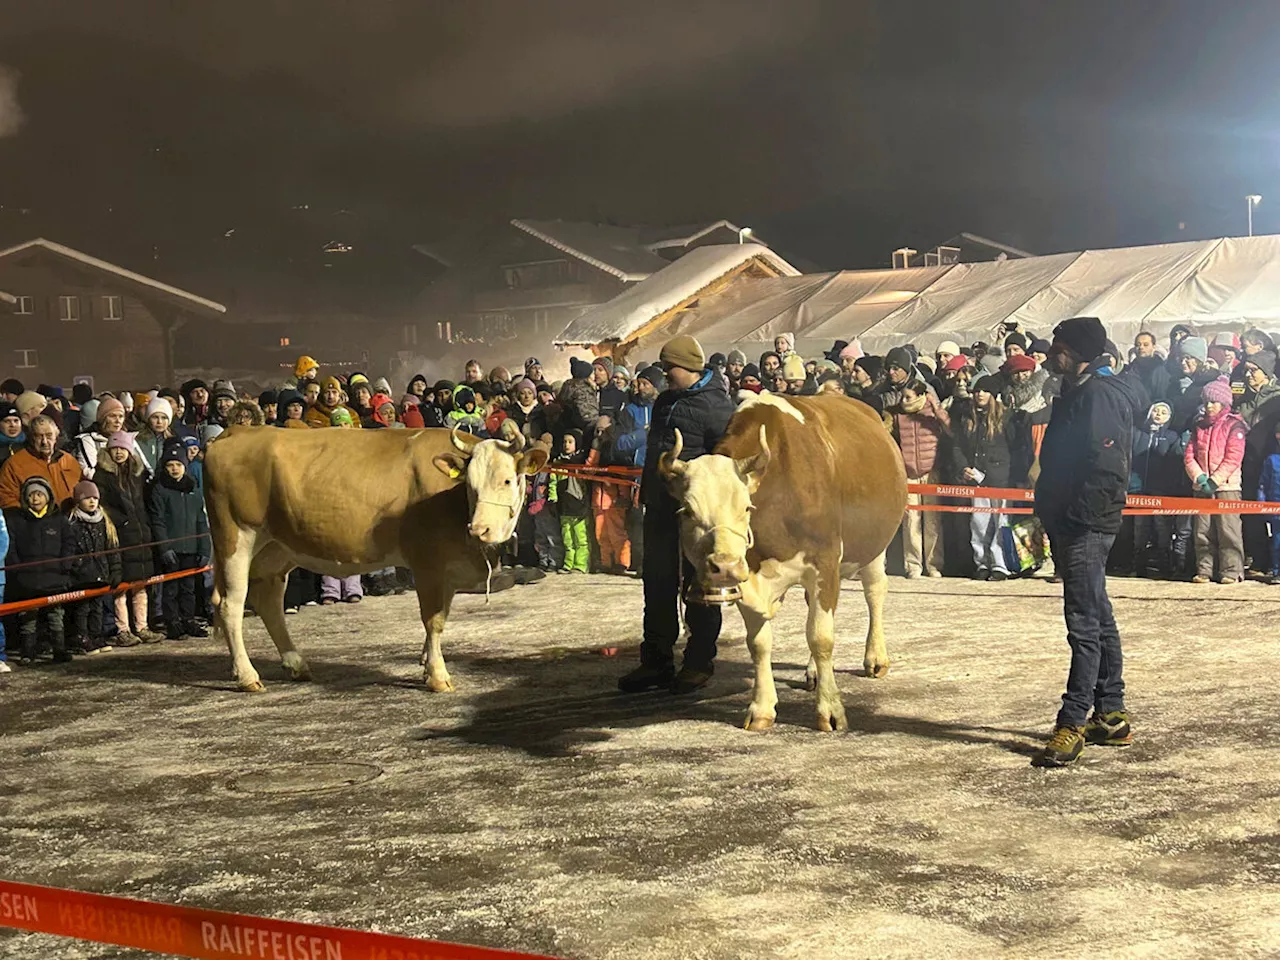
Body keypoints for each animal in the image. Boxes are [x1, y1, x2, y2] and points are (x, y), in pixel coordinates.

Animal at [207, 427, 547, 691]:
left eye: (506, 480)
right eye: (469, 485)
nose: (479, 529)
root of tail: (237, 431)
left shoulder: (447, 568)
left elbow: (440, 618)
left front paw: (426, 662)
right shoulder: (428, 562)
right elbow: (434, 620)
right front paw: (437, 675)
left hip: (276, 548)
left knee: (268, 601)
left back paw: (294, 663)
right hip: (236, 537)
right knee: (231, 605)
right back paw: (247, 676)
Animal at [660, 394, 911, 732]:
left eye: (747, 507)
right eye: (687, 510)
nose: (725, 566)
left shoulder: (824, 563)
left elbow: (821, 637)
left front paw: (830, 709)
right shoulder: (749, 578)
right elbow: (759, 643)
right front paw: (762, 707)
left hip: (874, 547)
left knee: (875, 594)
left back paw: (875, 658)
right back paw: (814, 671)